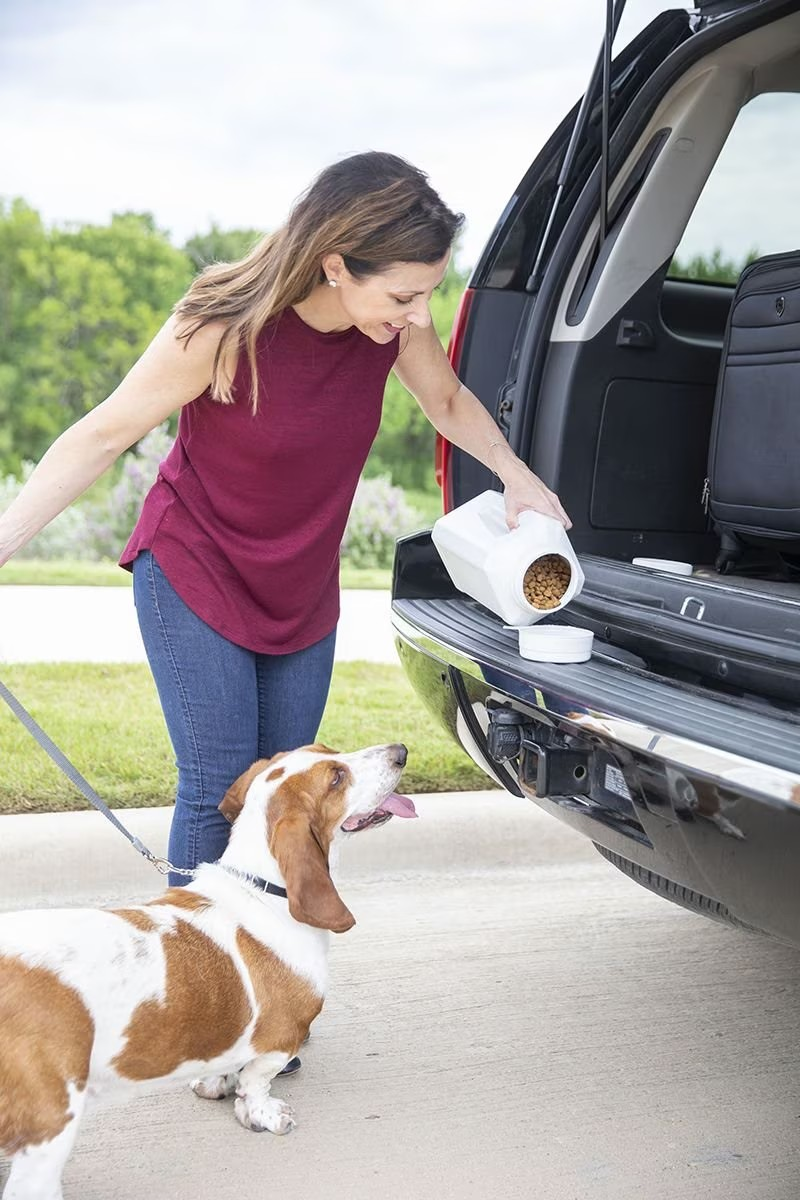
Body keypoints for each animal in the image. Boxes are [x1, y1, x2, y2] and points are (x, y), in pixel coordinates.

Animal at [0, 739, 412, 1200]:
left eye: (327, 748)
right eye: (336, 777)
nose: (401, 751)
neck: (260, 886)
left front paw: (215, 1084)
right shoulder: (281, 1038)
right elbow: (257, 1082)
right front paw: (263, 1114)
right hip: (49, 1128)